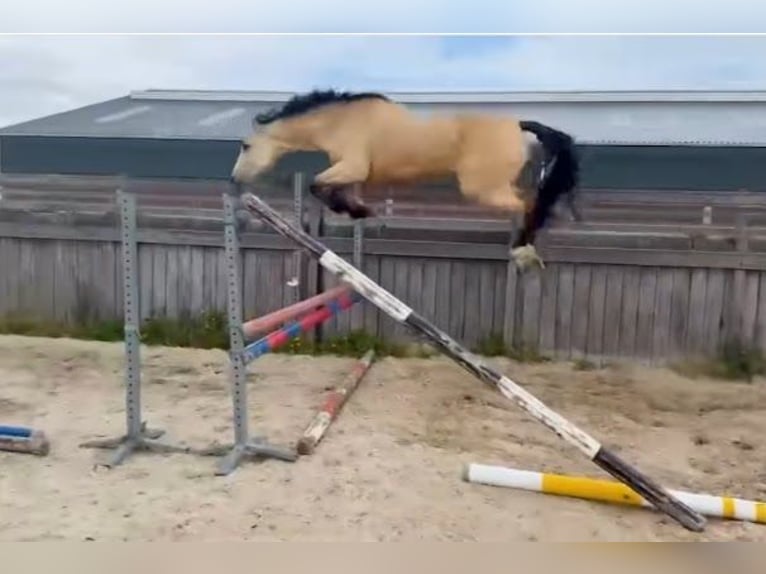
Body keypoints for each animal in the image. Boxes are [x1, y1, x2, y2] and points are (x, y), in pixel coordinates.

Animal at [230, 89, 581, 270]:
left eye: (246, 146)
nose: (234, 179)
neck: (340, 121)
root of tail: (517, 125)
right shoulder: (354, 175)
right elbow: (333, 191)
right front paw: (358, 210)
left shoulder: (353, 166)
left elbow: (317, 185)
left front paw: (358, 211)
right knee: (531, 201)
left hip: (483, 188)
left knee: (527, 204)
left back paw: (523, 252)